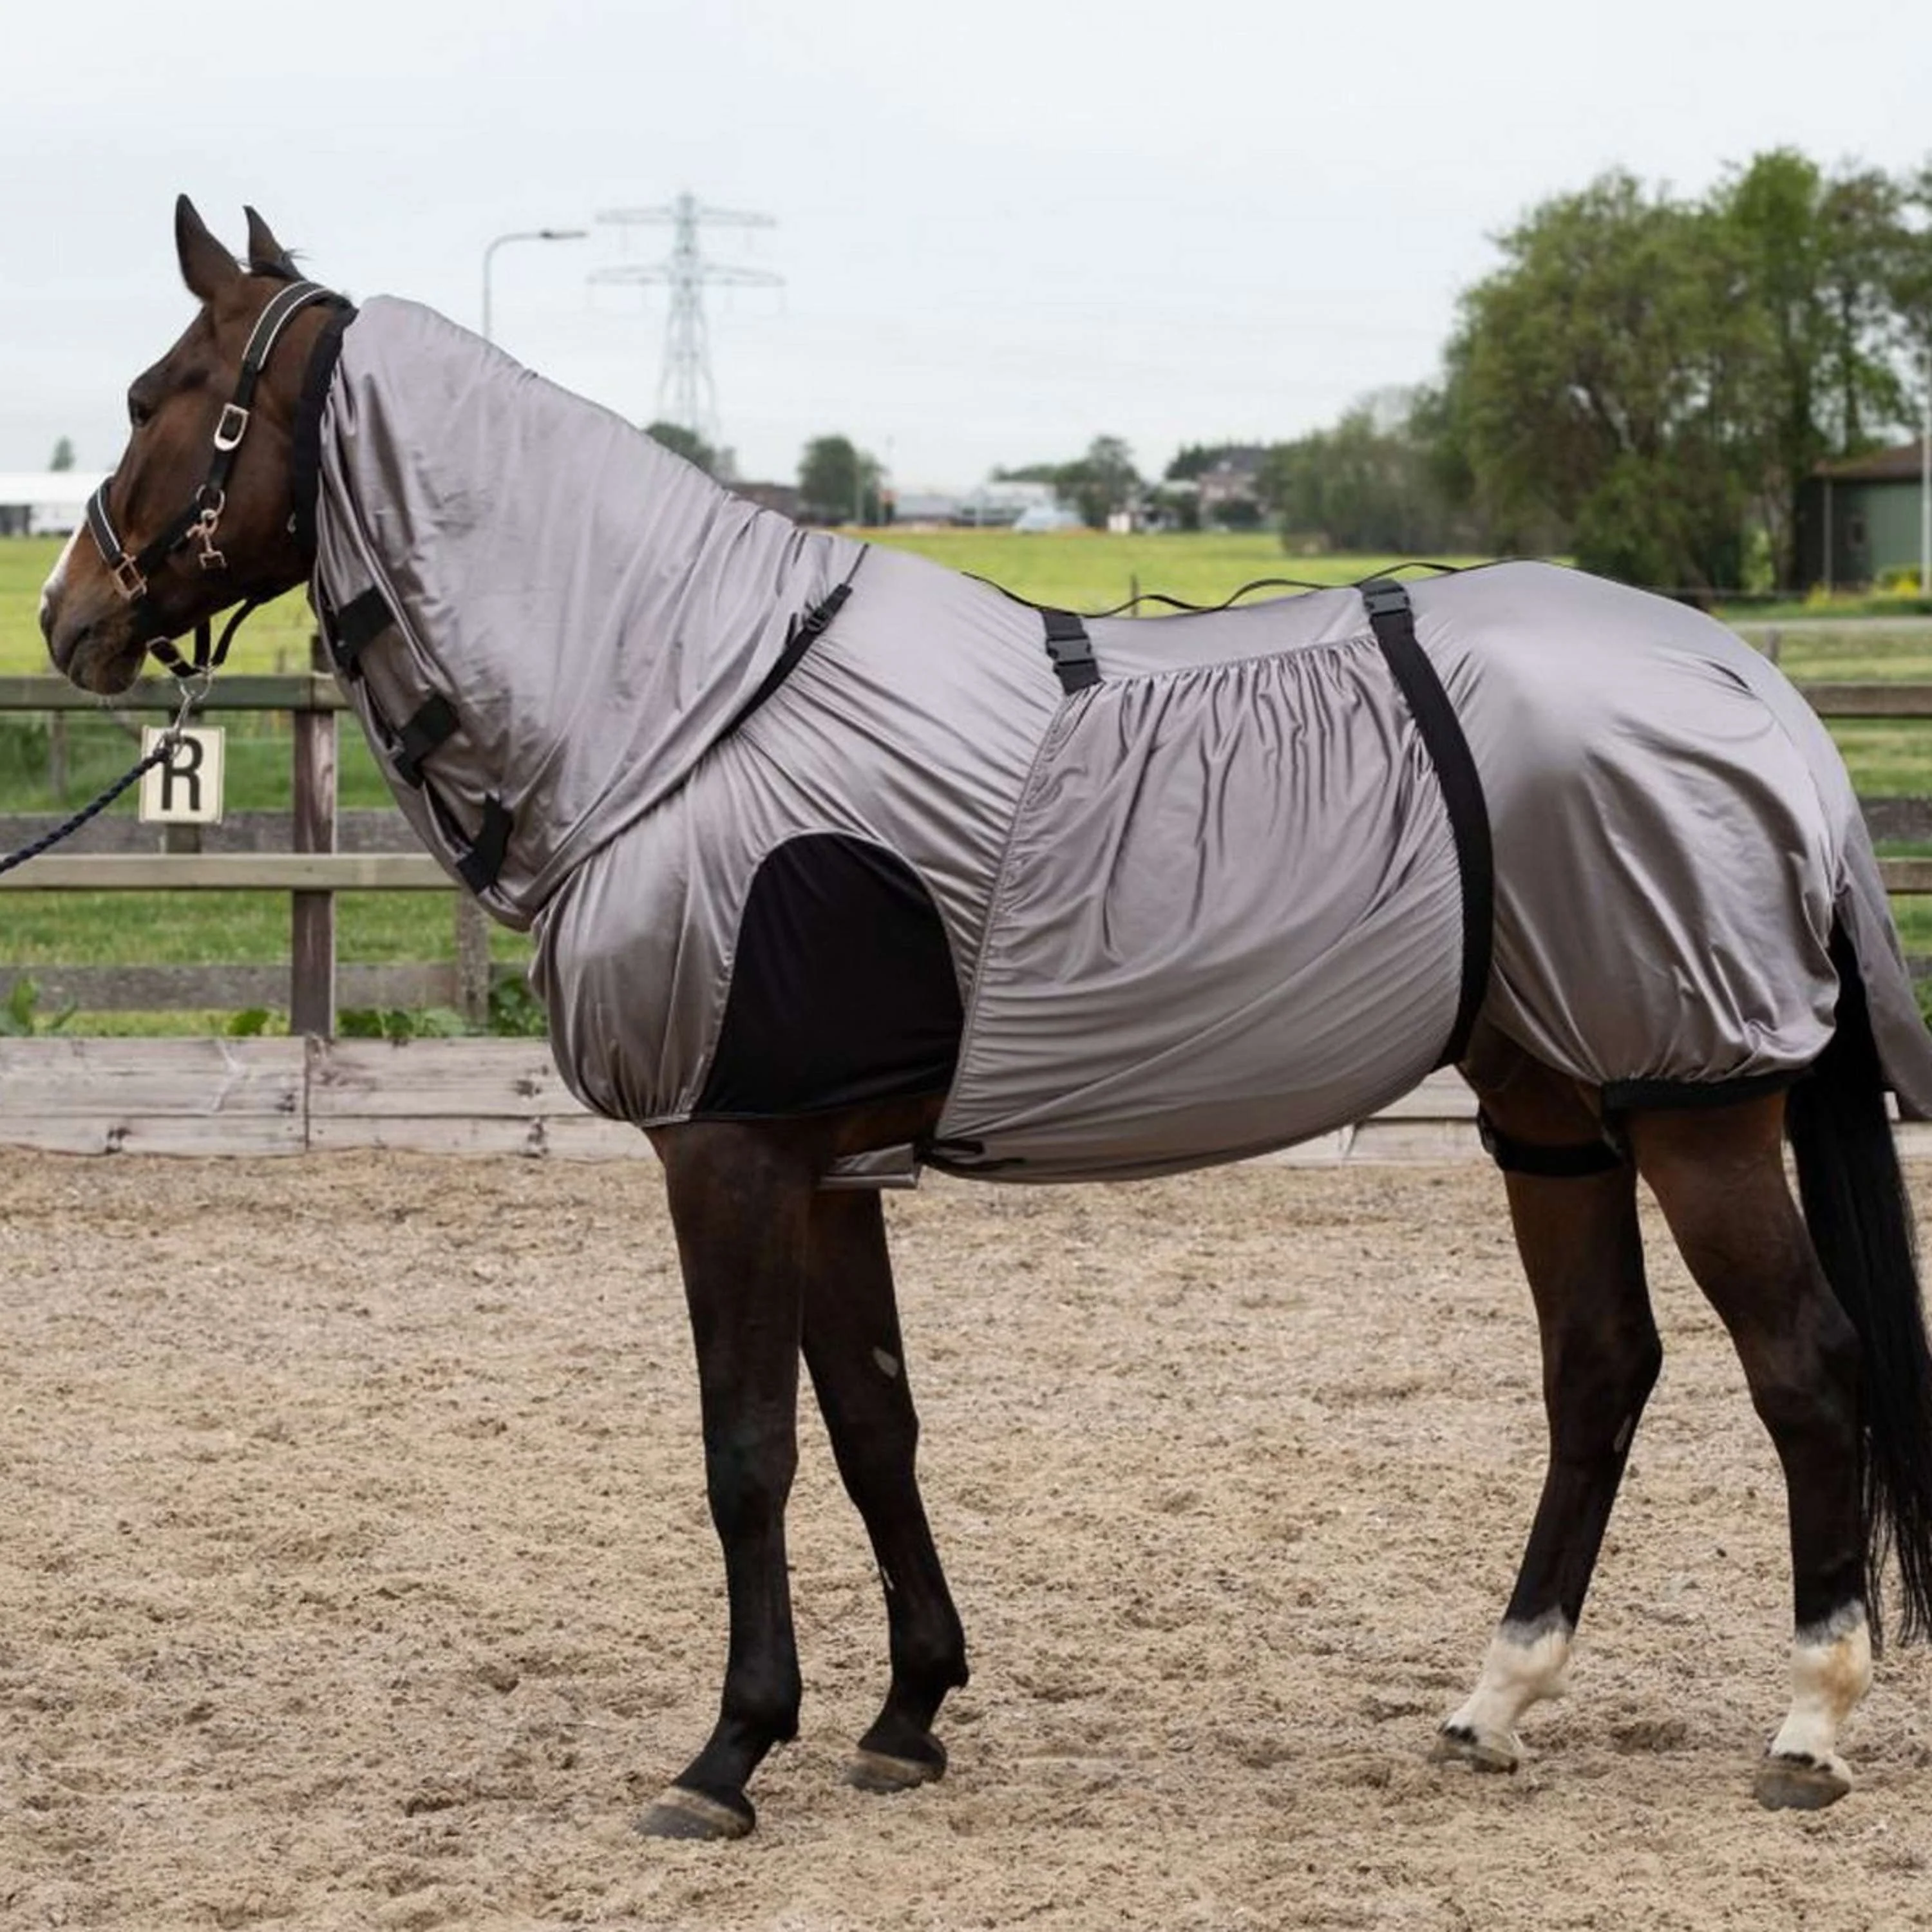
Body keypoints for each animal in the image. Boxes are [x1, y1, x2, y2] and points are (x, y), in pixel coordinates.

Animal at [37, 198, 1932, 1840]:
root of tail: (1743, 682)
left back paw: (1807, 1721)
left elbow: (746, 1447)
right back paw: (1497, 1697)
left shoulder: (726, 1149)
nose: (71, 618)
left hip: (1694, 1098)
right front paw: (904, 1713)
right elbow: (872, 1423)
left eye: (157, 396)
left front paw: (728, 1752)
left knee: (1806, 1367)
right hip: (1551, 1103)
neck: (686, 704)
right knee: (1600, 1364)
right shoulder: (823, 1163)